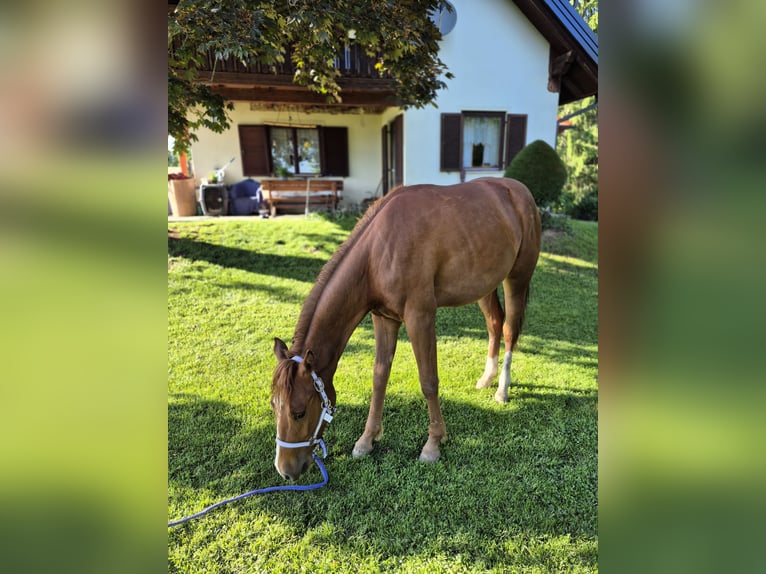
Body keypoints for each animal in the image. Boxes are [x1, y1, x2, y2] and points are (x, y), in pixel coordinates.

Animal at [270, 177, 541, 481]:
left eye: (299, 412)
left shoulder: (420, 317)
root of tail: (518, 190)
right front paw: (367, 440)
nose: (285, 471)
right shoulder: (384, 318)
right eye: (273, 406)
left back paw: (502, 390)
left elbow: (429, 381)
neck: (378, 252)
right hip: (484, 286)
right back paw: (487, 378)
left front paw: (433, 444)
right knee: (494, 323)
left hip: (517, 278)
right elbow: (379, 378)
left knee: (508, 330)